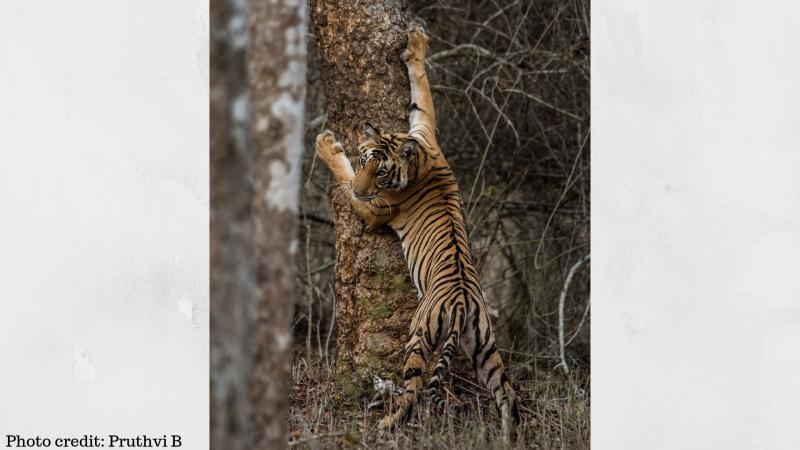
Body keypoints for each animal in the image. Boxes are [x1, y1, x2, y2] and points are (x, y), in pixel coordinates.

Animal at [315, 24, 519, 436]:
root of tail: (461, 302)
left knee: (413, 390)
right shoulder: (424, 126)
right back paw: (509, 435)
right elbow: (422, 93)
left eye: (378, 172)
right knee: (506, 391)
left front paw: (326, 145)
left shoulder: (374, 207)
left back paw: (387, 422)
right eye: (366, 159)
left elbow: (344, 178)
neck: (418, 160)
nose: (365, 185)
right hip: (485, 347)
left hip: (419, 336)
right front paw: (417, 45)